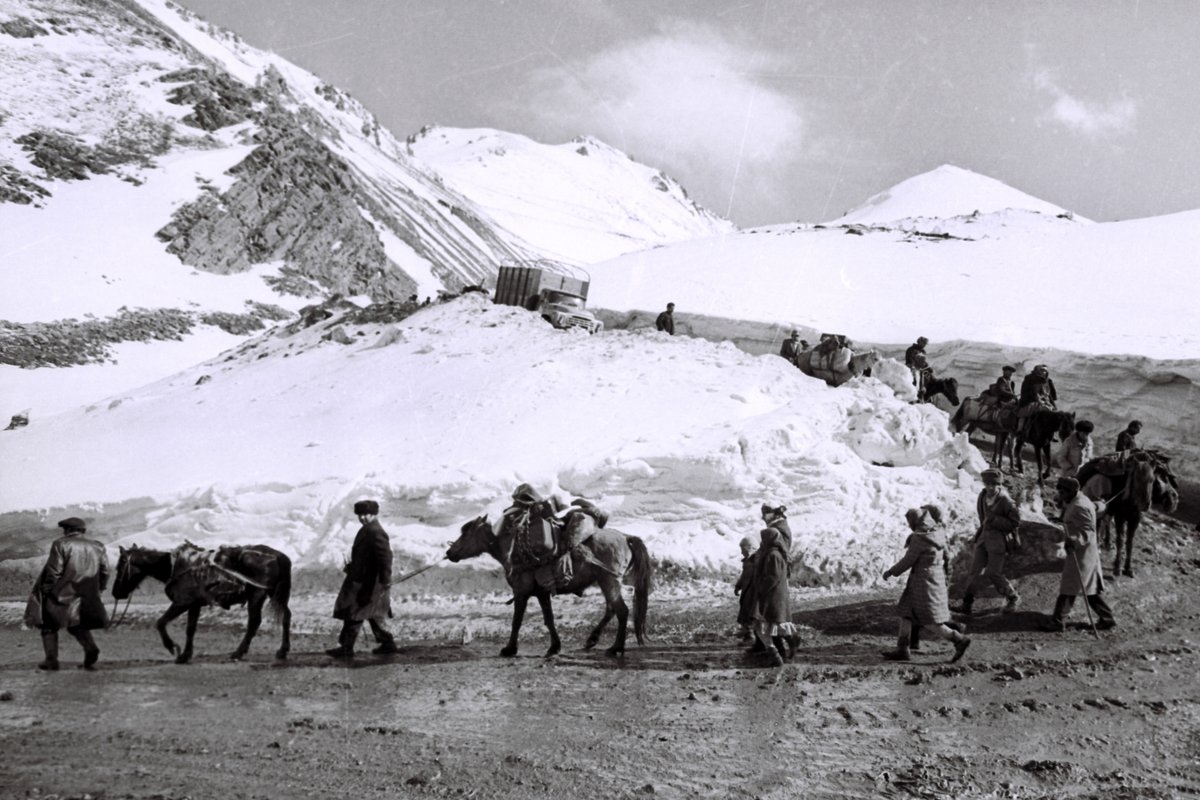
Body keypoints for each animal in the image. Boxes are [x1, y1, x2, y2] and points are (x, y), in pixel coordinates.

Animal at [111, 544, 294, 662]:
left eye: (119, 566)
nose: (115, 593)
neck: (174, 566)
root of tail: (278, 556)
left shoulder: (182, 602)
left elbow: (160, 622)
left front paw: (172, 647)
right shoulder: (194, 604)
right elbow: (190, 629)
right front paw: (185, 654)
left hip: (257, 595)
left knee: (254, 622)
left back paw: (238, 652)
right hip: (274, 594)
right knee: (286, 616)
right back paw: (282, 650)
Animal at [446, 515, 652, 662]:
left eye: (466, 533)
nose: (449, 552)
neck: (513, 551)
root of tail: (626, 537)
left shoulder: (521, 593)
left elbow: (516, 621)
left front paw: (509, 649)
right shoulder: (542, 593)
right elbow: (549, 619)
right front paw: (554, 647)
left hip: (608, 580)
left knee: (621, 611)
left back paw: (616, 647)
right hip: (606, 581)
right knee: (611, 609)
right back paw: (593, 639)